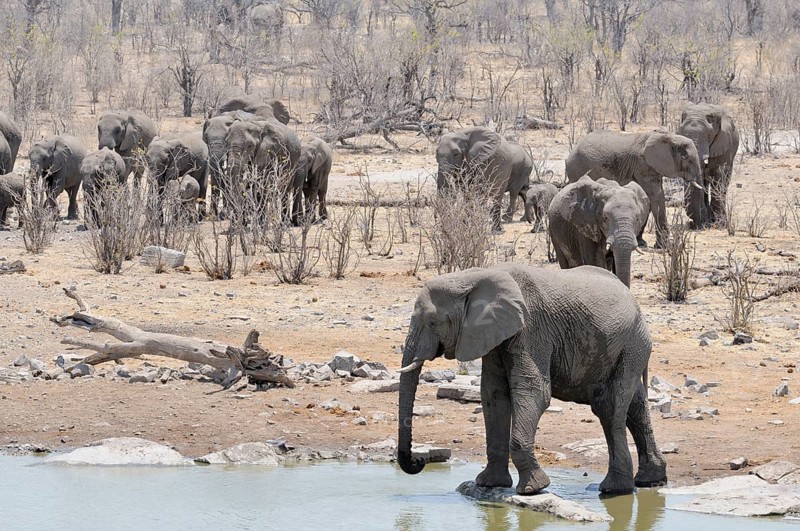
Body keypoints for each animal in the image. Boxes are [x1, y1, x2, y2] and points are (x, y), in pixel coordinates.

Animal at [397, 264, 667, 495]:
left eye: (433, 322)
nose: (419, 460)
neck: (476, 275)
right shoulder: (493, 335)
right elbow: (493, 395)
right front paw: (489, 484)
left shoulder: (532, 329)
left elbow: (534, 392)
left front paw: (533, 489)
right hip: (628, 347)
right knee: (635, 406)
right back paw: (649, 481)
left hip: (632, 343)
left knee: (608, 406)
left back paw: (615, 489)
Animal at [565, 130, 703, 248]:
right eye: (688, 160)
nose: (693, 224)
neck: (671, 136)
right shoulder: (643, 165)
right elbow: (656, 196)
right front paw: (663, 247)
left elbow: (646, 198)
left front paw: (642, 243)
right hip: (578, 168)